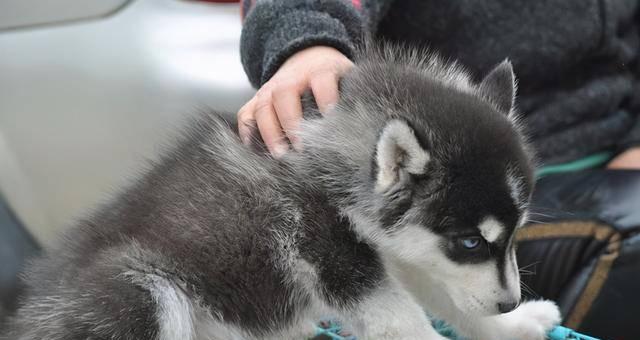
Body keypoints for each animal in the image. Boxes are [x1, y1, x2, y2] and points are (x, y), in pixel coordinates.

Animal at [2, 46, 556, 338]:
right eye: (471, 241)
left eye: (513, 235)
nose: (509, 302)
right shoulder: (337, 259)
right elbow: (407, 320)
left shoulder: (404, 254)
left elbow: (452, 298)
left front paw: (515, 325)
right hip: (137, 294)